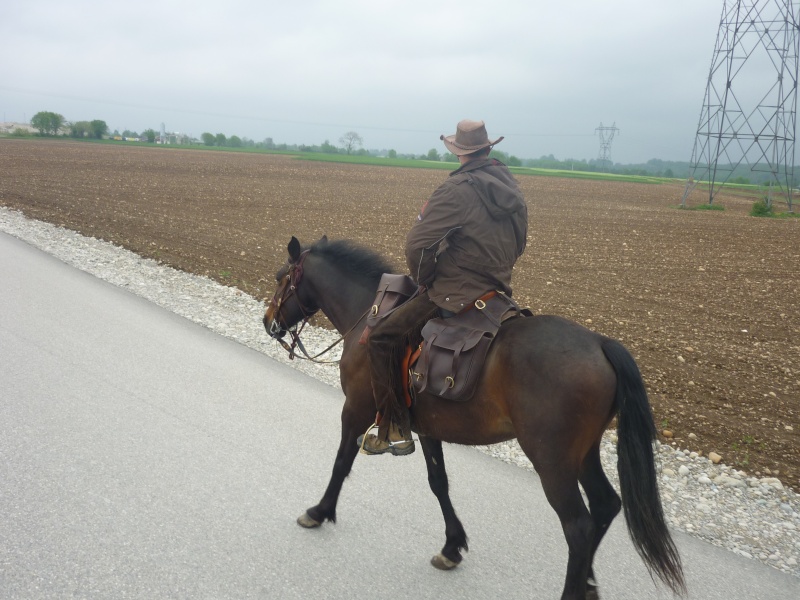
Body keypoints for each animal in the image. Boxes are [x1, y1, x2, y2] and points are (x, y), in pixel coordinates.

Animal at [264, 234, 688, 600]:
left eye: (281, 277)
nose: (269, 322)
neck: (368, 314)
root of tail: (601, 344)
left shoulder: (355, 408)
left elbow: (341, 462)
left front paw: (319, 511)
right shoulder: (426, 426)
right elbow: (439, 483)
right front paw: (452, 546)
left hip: (551, 459)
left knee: (579, 527)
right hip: (582, 454)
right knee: (604, 505)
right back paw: (588, 585)